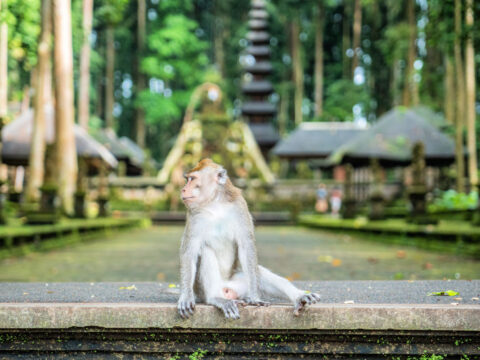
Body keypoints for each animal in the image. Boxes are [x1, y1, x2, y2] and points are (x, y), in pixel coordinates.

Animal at [178, 159, 320, 320]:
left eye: (192, 179)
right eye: (187, 179)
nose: (183, 189)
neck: (215, 205)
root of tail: (228, 289)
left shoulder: (240, 206)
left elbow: (246, 247)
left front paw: (255, 298)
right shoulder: (194, 216)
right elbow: (189, 252)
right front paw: (186, 297)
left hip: (239, 282)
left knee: (259, 272)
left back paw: (299, 297)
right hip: (203, 289)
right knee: (206, 251)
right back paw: (216, 298)